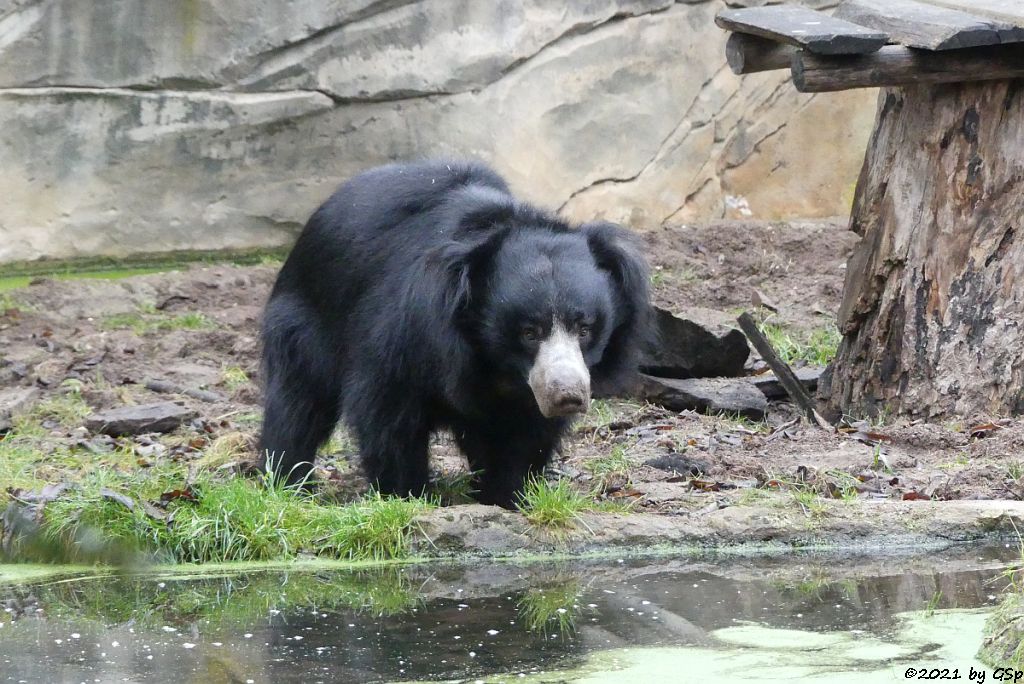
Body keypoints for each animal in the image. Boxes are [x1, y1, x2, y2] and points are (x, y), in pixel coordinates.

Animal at [260, 157, 651, 505]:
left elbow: (526, 434)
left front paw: (507, 495)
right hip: (304, 319)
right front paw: (406, 494)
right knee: (298, 402)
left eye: (584, 328)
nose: (567, 395)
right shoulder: (407, 331)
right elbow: (388, 411)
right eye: (529, 332)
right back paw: (289, 483)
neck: (497, 366)